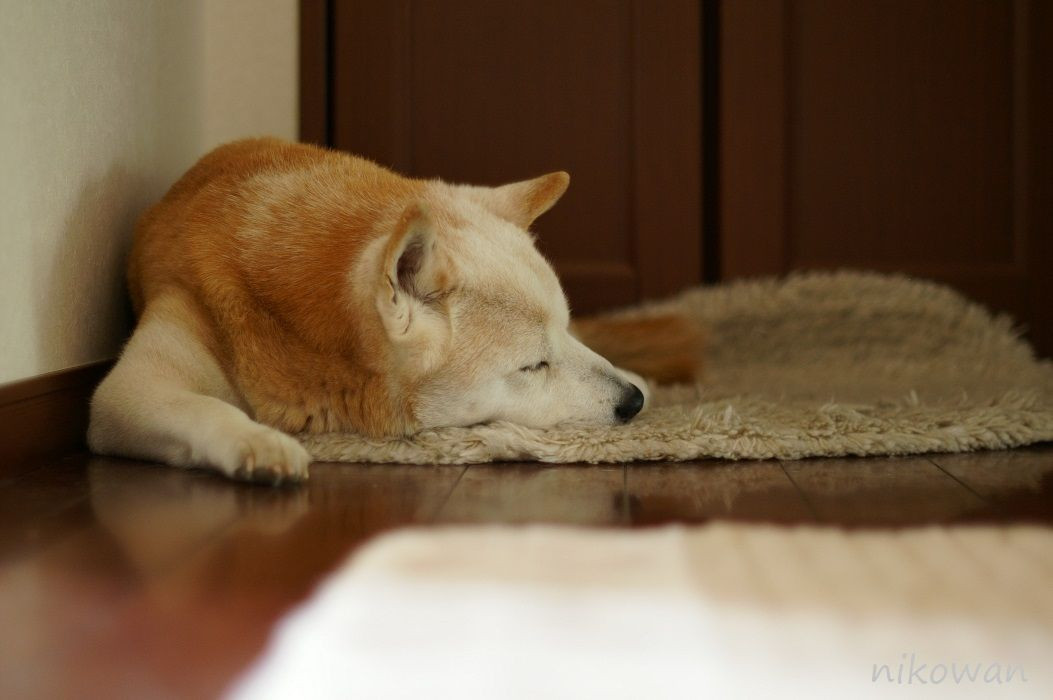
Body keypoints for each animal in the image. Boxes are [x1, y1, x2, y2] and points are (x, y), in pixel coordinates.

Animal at [88, 138, 702, 483]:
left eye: (567, 330)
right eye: (532, 366)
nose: (632, 402)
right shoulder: (134, 383)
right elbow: (203, 407)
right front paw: (257, 442)